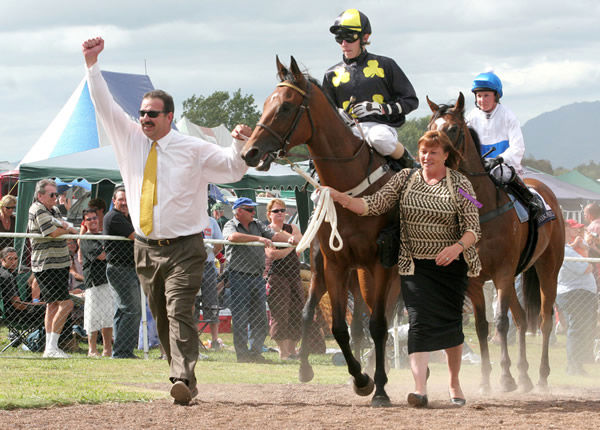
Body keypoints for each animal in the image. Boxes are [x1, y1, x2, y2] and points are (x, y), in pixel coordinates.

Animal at [241, 58, 400, 406]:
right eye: (266, 104)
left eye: (285, 107)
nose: (250, 152)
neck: (350, 191)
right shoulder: (335, 265)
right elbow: (339, 327)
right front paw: (360, 379)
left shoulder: (381, 265)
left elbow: (379, 325)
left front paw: (380, 388)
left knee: (383, 318)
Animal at [426, 93, 564, 394]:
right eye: (430, 126)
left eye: (452, 128)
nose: (429, 156)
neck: (481, 211)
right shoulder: (475, 279)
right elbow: (482, 326)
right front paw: (486, 380)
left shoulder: (501, 273)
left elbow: (501, 323)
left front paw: (505, 378)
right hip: (515, 277)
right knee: (522, 318)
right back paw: (524, 376)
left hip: (548, 269)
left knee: (545, 320)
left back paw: (541, 377)